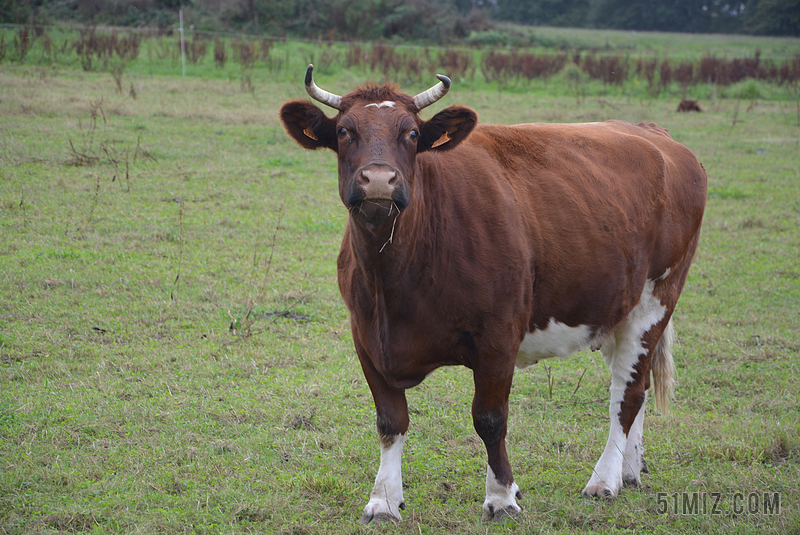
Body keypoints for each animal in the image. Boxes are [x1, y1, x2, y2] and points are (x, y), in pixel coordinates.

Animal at [282, 65, 708, 520]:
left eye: (411, 133)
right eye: (345, 131)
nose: (379, 180)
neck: (394, 281)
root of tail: (652, 132)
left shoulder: (499, 337)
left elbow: (489, 419)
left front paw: (502, 495)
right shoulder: (366, 337)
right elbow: (390, 420)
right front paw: (383, 498)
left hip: (656, 299)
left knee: (625, 393)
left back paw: (605, 478)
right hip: (615, 308)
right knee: (637, 385)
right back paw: (630, 468)